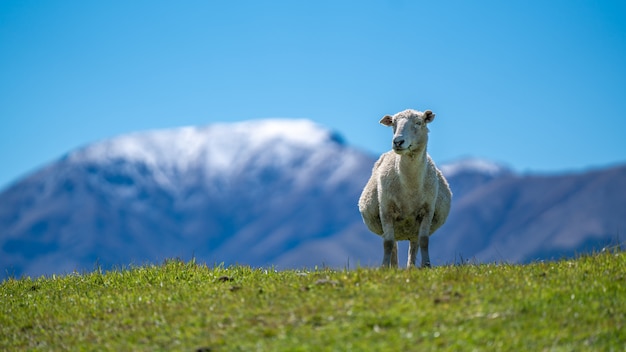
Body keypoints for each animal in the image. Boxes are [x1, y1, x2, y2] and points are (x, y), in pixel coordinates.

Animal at [356, 108, 448, 268]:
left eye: (418, 122)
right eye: (393, 123)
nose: (397, 141)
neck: (410, 187)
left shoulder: (428, 210)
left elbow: (424, 240)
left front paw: (427, 266)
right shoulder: (386, 210)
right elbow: (387, 243)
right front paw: (384, 268)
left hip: (413, 228)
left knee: (414, 245)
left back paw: (411, 268)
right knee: (393, 245)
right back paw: (394, 268)